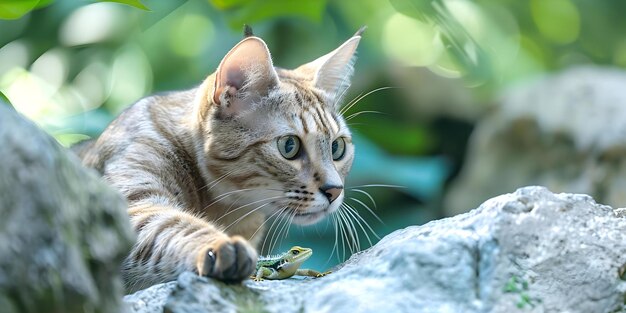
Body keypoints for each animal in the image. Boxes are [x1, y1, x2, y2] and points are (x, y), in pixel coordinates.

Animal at [75, 25, 364, 292]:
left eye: (337, 147)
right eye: (289, 146)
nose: (335, 190)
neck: (228, 209)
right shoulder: (122, 208)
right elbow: (169, 224)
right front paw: (217, 245)